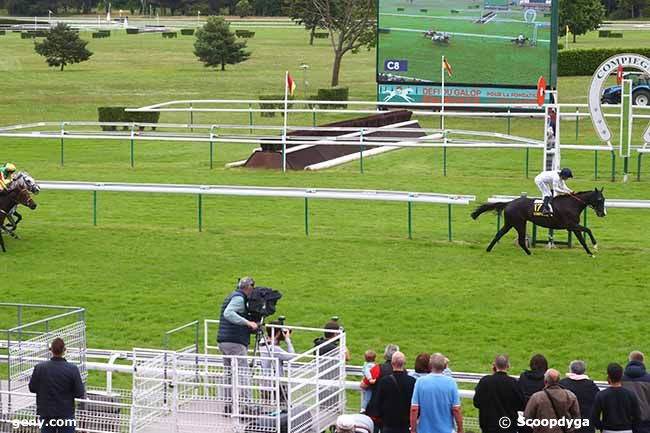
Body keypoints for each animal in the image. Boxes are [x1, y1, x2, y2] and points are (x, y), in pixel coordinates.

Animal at [468, 188, 604, 255]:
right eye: (599, 199)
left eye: (604, 199)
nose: (602, 213)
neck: (571, 204)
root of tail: (509, 202)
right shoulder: (571, 225)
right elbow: (588, 230)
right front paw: (595, 246)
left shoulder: (573, 227)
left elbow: (582, 240)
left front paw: (590, 252)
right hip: (519, 223)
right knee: (521, 240)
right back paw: (529, 253)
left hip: (511, 223)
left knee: (499, 234)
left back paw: (488, 249)